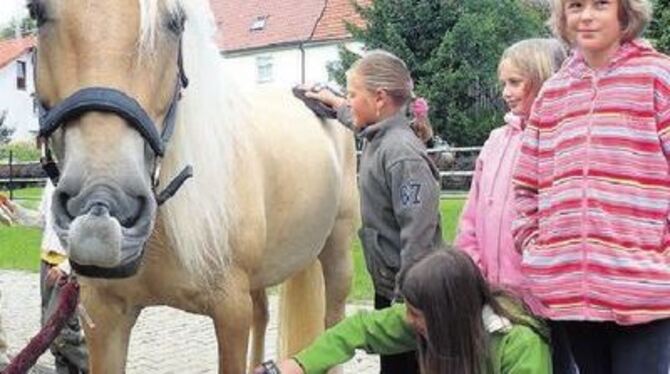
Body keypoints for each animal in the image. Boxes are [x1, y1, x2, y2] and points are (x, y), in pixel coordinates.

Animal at [29, 0, 360, 372]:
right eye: (38, 12)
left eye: (175, 23)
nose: (102, 204)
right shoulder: (105, 313)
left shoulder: (231, 312)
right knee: (262, 314)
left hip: (337, 253)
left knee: (332, 323)